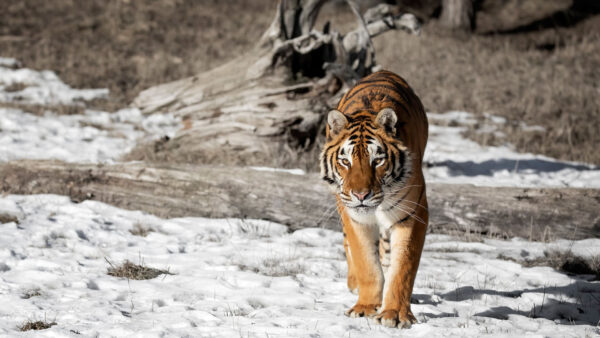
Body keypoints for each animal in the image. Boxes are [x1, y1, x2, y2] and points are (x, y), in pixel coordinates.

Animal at [318, 70, 426, 328]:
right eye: (345, 161)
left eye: (377, 160)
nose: (360, 195)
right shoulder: (355, 218)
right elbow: (366, 263)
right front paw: (365, 307)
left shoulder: (412, 213)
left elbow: (403, 267)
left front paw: (394, 313)